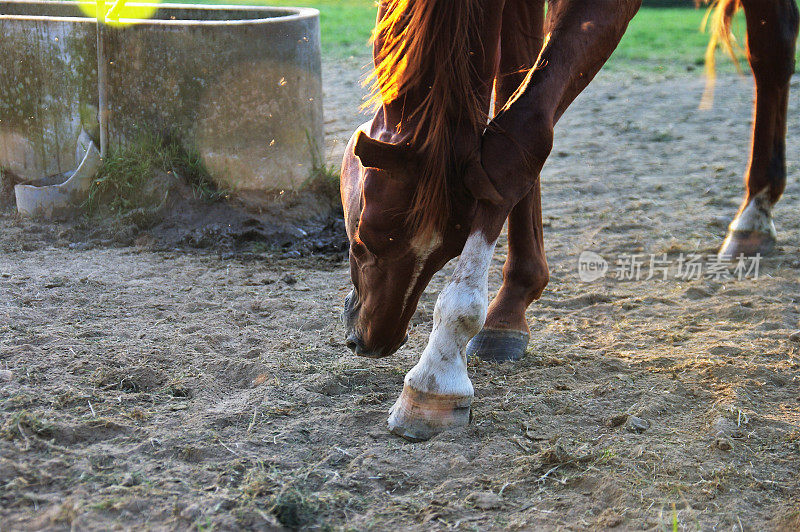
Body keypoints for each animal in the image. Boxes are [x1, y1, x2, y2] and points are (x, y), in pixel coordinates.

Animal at [340, 0, 800, 440]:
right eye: (362, 241)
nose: (375, 339)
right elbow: (511, 97)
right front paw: (510, 307)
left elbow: (518, 137)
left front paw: (439, 373)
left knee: (772, 49)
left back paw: (754, 215)